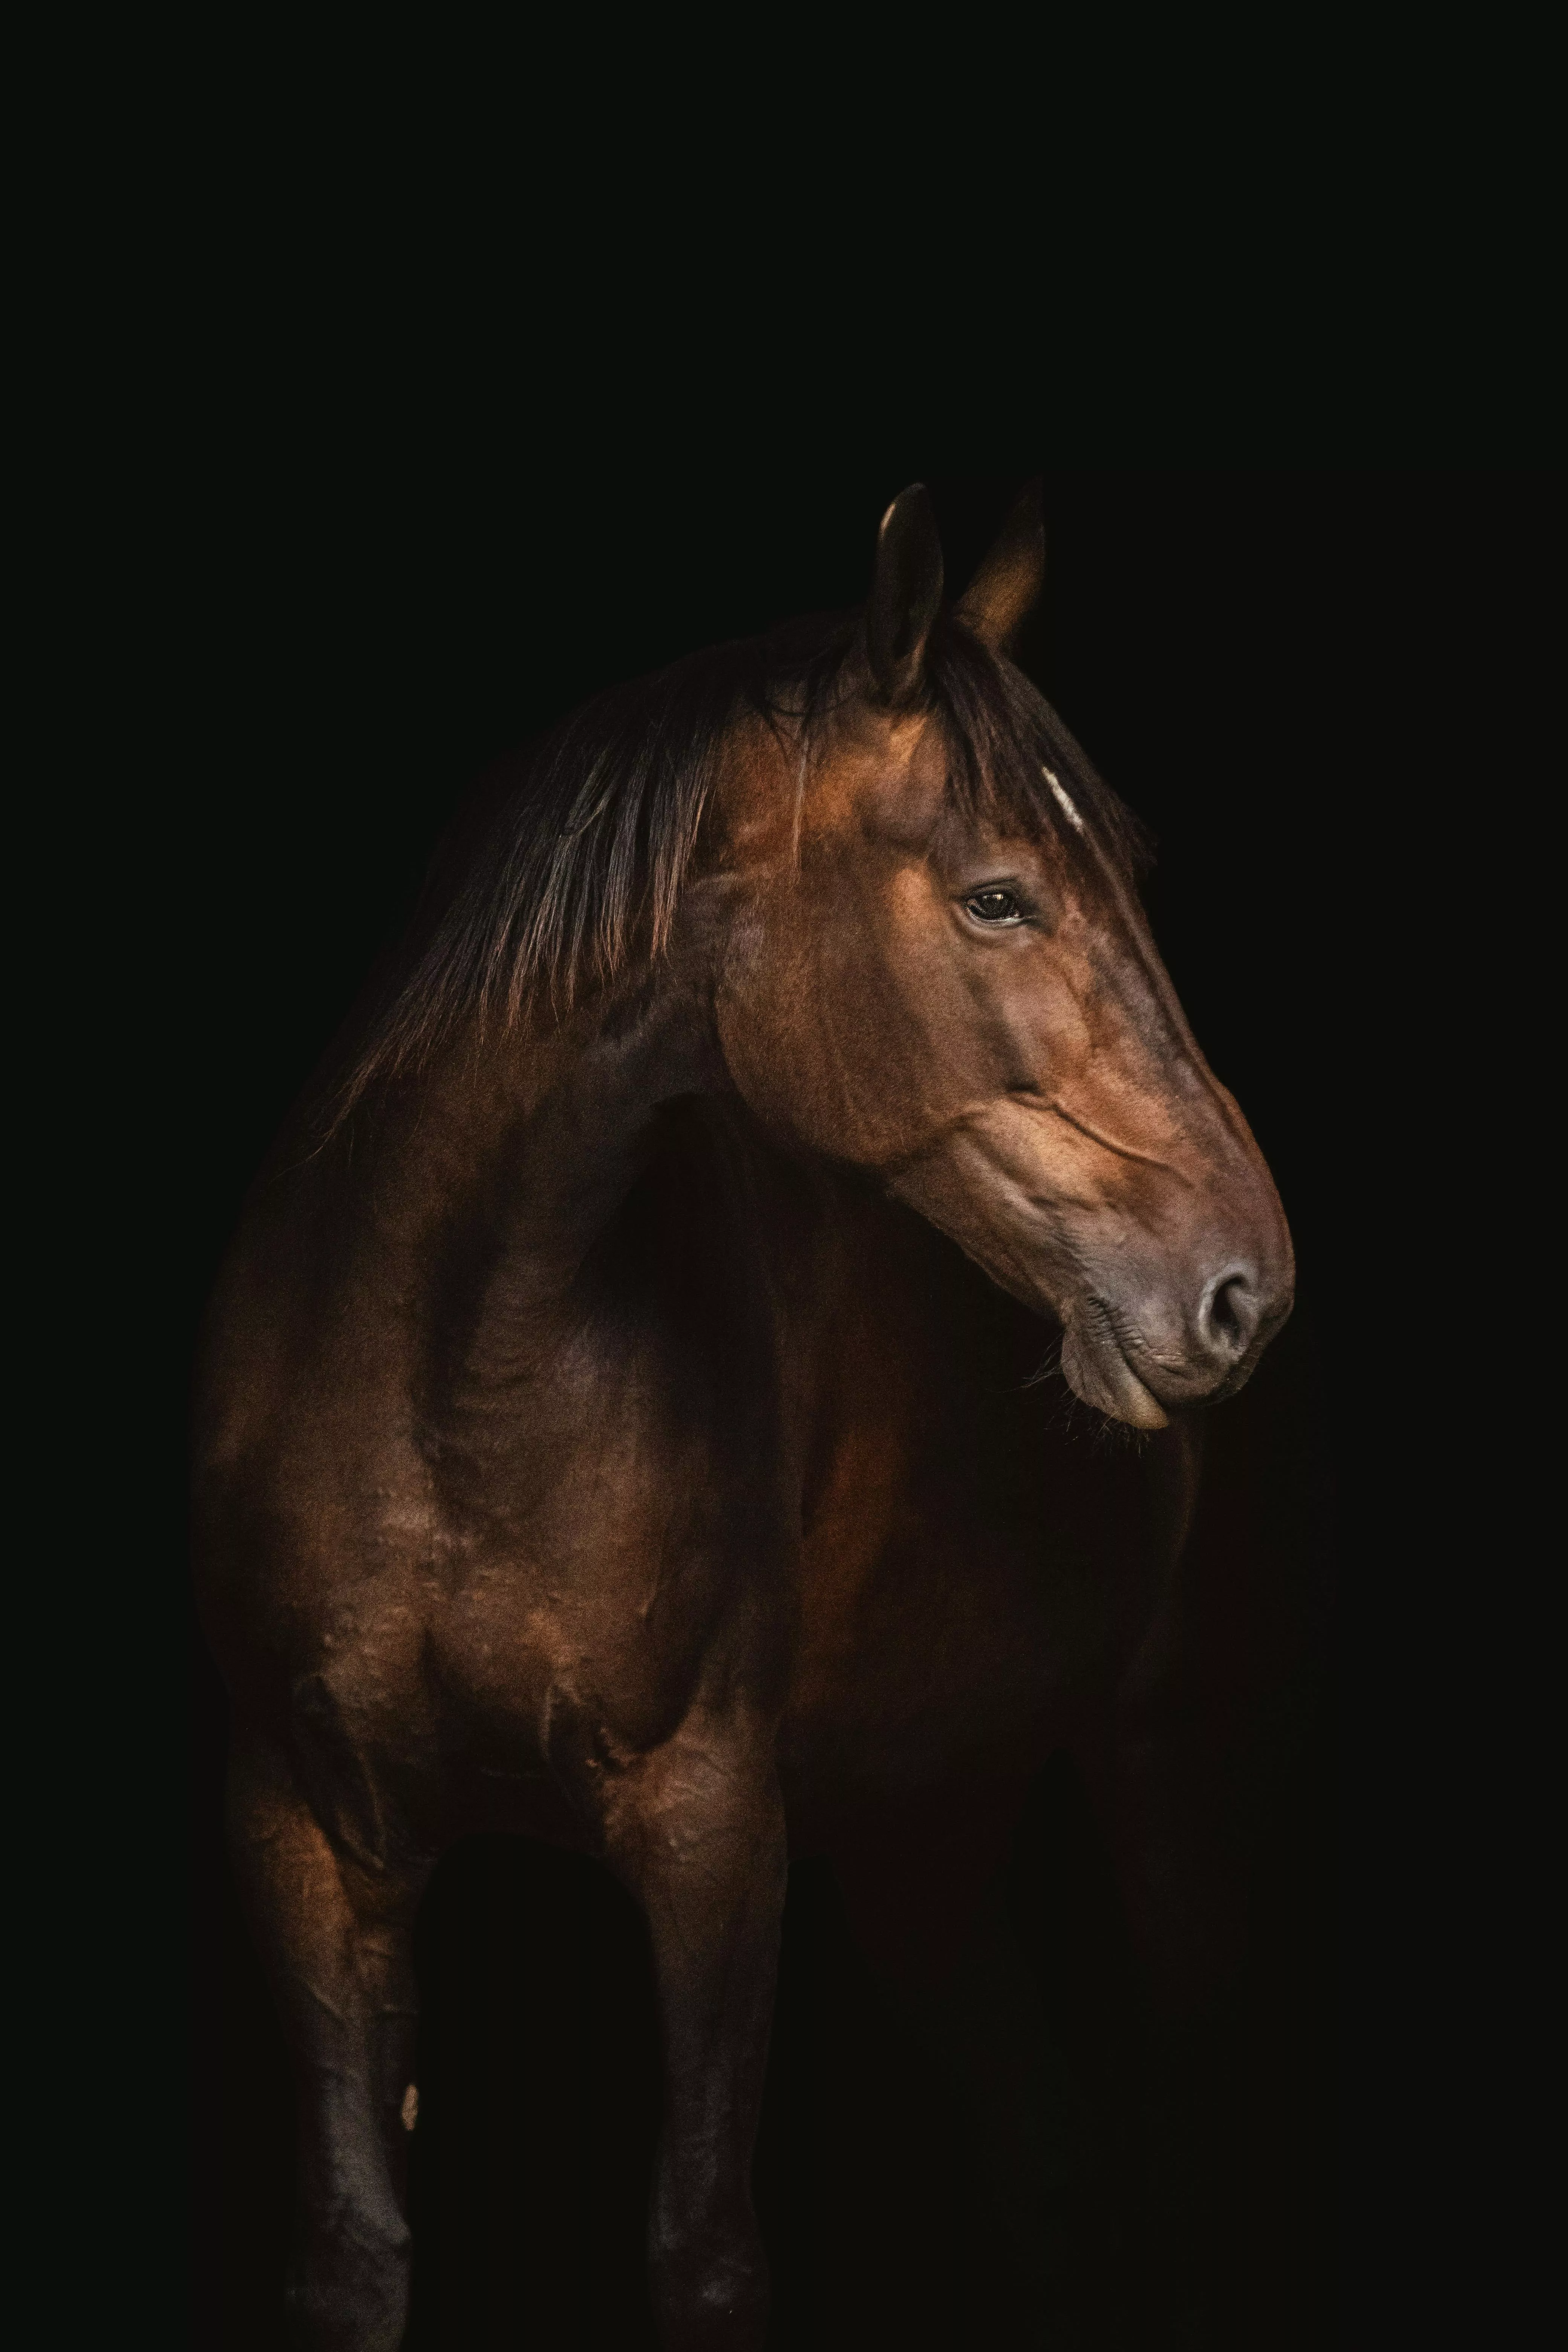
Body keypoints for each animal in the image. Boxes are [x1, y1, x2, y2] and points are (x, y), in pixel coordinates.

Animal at [193, 482, 1293, 2349]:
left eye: (1133, 881)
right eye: (999, 898)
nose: (1244, 1286)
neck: (450, 1393)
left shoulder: (711, 1829)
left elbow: (702, 2249)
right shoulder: (305, 1834)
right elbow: (351, 2247)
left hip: (1156, 1777)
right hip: (924, 1832)